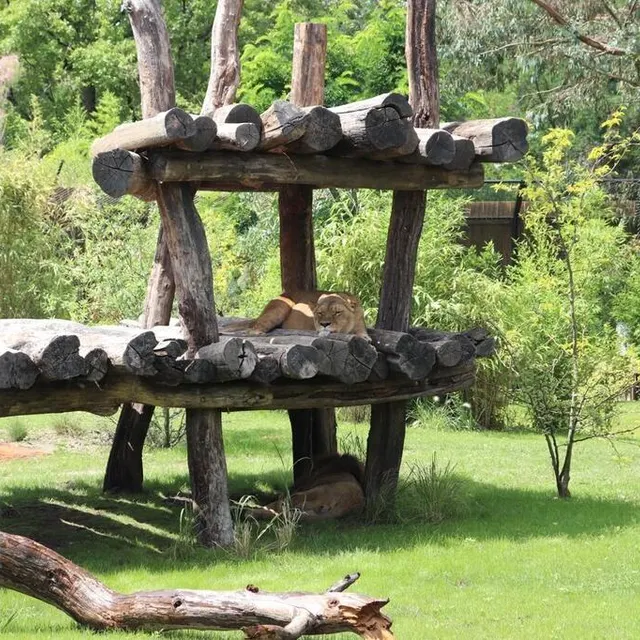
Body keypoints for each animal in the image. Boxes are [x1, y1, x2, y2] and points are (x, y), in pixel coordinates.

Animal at [225, 290, 370, 340]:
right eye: (320, 313)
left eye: (337, 312)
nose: (324, 324)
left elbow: (361, 331)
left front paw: (364, 336)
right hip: (280, 308)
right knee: (254, 327)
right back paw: (257, 333)